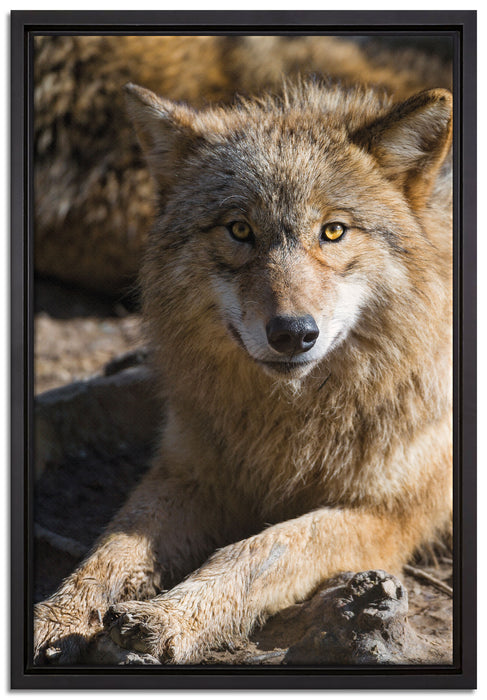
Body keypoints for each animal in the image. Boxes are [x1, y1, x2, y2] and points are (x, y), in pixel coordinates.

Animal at [34, 73, 452, 664]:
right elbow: (112, 546)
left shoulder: (384, 516)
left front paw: (168, 618)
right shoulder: (190, 471)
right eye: (239, 229)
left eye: (333, 231)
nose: (293, 333)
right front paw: (59, 615)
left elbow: (260, 550)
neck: (289, 423)